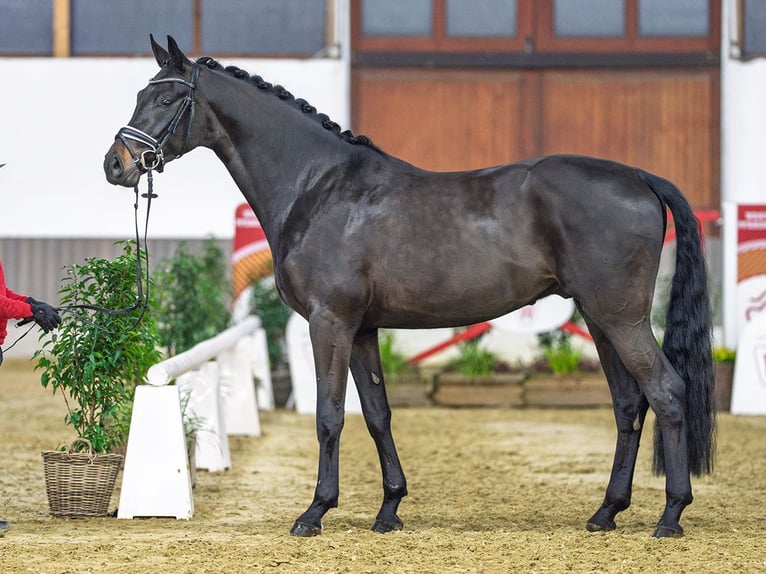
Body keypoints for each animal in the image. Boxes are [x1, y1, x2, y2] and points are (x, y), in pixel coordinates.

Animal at [104, 36, 715, 539]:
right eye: (138, 94)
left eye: (166, 99)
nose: (116, 165)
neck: (319, 187)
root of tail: (640, 178)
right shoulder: (363, 329)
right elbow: (377, 414)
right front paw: (389, 509)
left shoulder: (330, 322)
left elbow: (330, 415)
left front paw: (314, 512)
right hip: (598, 317)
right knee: (629, 404)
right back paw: (606, 511)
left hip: (619, 316)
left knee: (666, 391)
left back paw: (670, 515)